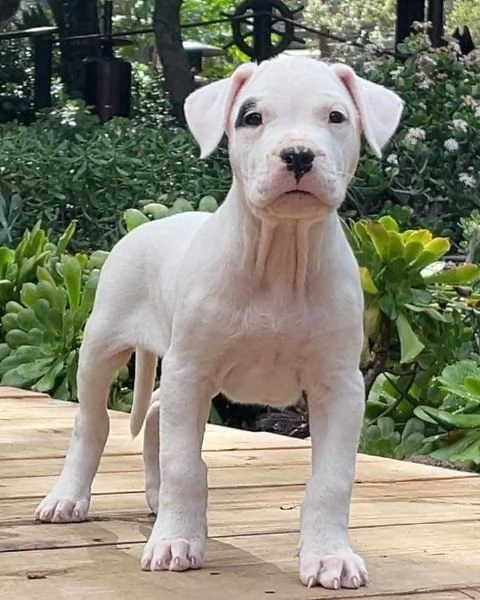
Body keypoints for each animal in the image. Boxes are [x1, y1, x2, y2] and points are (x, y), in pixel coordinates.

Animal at [35, 56, 404, 592]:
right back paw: (68, 497)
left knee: (154, 412)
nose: (298, 155)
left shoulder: (339, 386)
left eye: (336, 116)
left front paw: (329, 556)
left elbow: (333, 478)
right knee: (94, 421)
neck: (280, 257)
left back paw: (155, 498)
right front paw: (176, 542)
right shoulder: (192, 370)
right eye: (252, 118)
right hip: (104, 346)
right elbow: (184, 465)